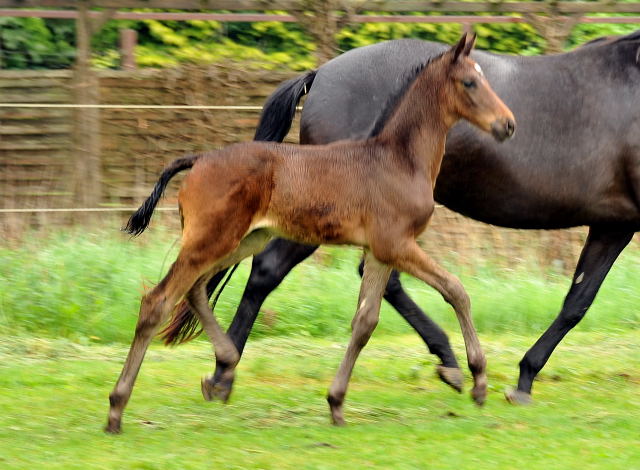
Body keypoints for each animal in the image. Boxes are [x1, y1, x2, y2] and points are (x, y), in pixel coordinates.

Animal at [105, 35, 516, 434]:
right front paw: (478, 381)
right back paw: (117, 409)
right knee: (157, 301)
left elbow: (365, 322)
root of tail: (199, 160)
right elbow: (456, 290)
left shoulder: (380, 252)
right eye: (470, 82)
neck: (399, 159)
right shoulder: (396, 244)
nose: (508, 124)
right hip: (212, 240)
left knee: (195, 290)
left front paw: (336, 404)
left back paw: (225, 361)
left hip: (244, 240)